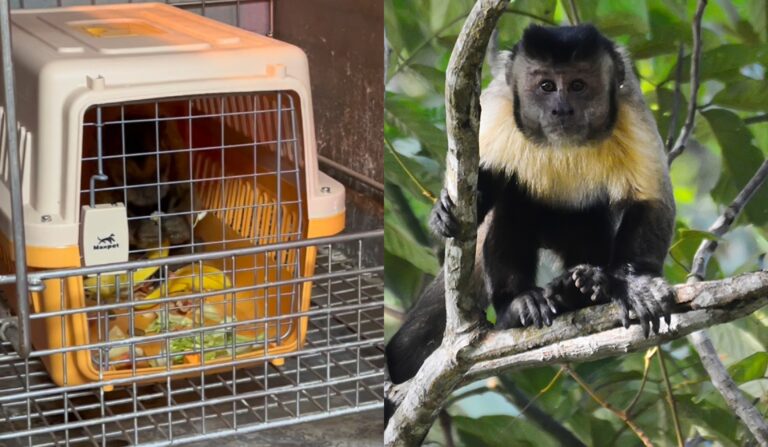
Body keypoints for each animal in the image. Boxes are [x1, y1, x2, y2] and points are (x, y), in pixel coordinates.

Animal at [386, 24, 676, 386]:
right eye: (546, 86)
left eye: (578, 85)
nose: (561, 109)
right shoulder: (496, 108)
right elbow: (486, 179)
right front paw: (443, 212)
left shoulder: (631, 111)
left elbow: (652, 202)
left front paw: (636, 285)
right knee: (512, 206)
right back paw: (518, 304)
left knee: (590, 221)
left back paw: (583, 289)